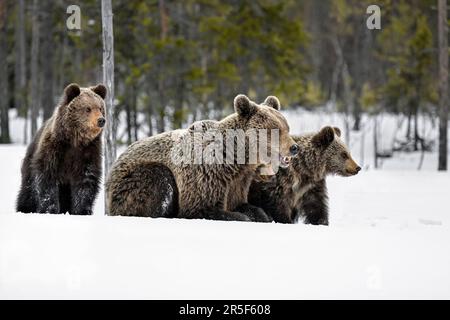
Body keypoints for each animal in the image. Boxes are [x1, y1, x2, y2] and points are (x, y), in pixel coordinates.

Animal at [15, 83, 107, 215]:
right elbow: (47, 179)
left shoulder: (88, 152)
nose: (101, 120)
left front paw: (82, 210)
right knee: (28, 190)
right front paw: (50, 209)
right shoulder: (54, 150)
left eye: (100, 108)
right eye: (88, 109)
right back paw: (24, 208)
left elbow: (85, 181)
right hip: (30, 161)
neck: (75, 140)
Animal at [105, 94, 298, 221]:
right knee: (160, 180)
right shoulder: (207, 177)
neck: (236, 159)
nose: (294, 148)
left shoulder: (238, 181)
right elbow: (202, 207)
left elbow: (247, 206)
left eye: (287, 127)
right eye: (274, 130)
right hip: (131, 181)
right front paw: (240, 216)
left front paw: (260, 215)